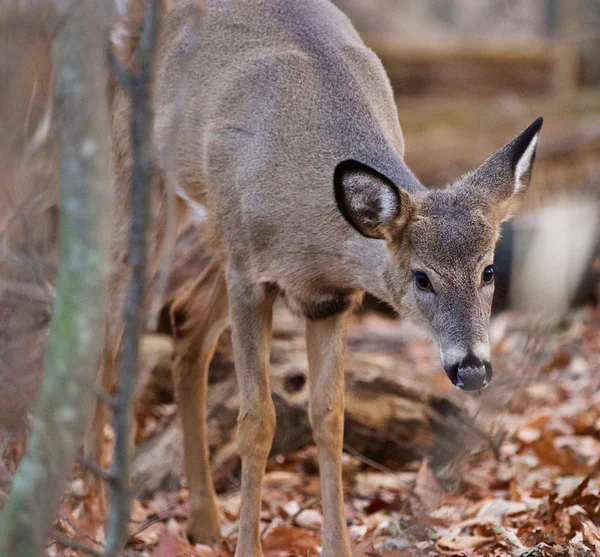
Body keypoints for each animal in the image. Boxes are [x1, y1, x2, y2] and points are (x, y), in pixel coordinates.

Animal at [108, 1, 544, 556]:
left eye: (489, 269)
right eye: (422, 279)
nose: (472, 369)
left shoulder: (330, 297)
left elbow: (330, 416)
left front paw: (338, 546)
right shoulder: (249, 274)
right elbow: (257, 419)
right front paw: (249, 548)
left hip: (214, 231)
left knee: (185, 324)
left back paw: (202, 523)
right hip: (145, 176)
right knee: (103, 326)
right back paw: (97, 512)